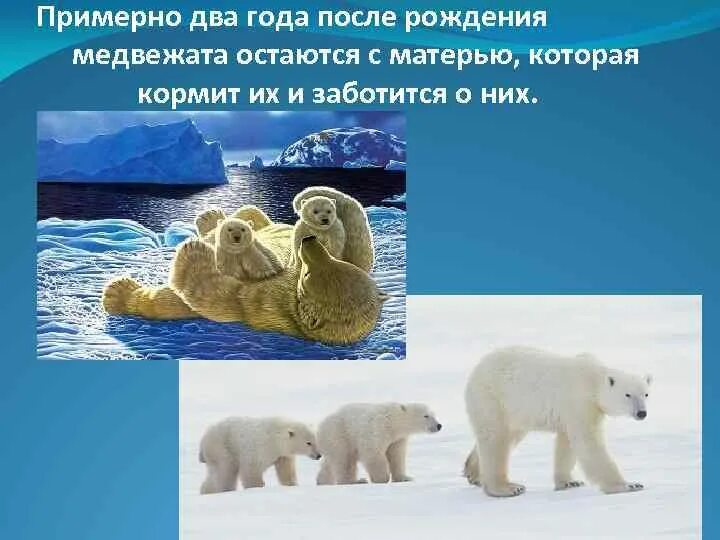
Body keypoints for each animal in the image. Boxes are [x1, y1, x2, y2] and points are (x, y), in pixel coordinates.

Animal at [102, 201, 388, 345]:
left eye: (308, 276)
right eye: (339, 264)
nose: (308, 241)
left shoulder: (264, 302)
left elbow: (215, 294)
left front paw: (195, 251)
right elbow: (359, 247)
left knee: (167, 301)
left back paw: (117, 293)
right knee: (255, 216)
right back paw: (213, 217)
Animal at [463, 346, 652, 497]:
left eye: (646, 394)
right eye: (628, 394)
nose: (642, 413)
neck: (592, 380)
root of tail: (476, 370)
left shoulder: (574, 411)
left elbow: (567, 443)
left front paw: (569, 482)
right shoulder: (580, 402)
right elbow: (588, 442)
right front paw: (628, 485)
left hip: (515, 411)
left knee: (507, 436)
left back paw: (473, 472)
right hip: (493, 397)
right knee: (495, 439)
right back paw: (507, 488)